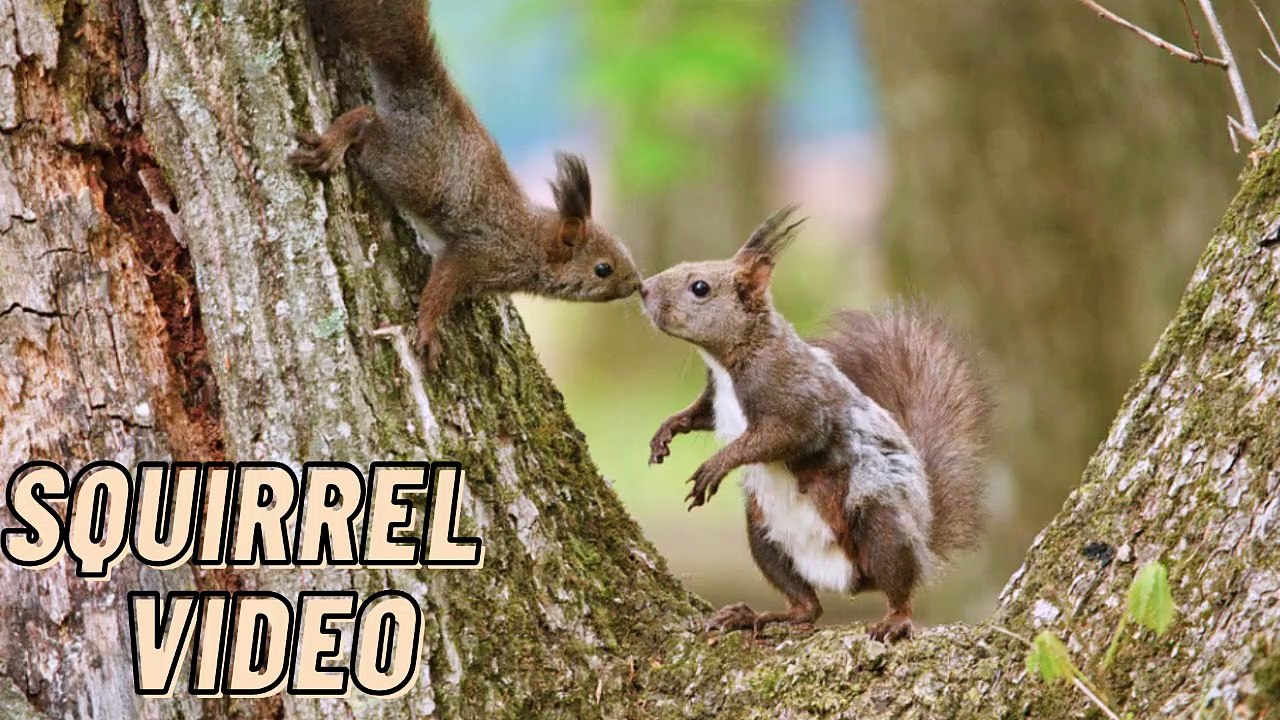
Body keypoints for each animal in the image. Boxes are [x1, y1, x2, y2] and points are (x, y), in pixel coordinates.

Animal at [289, 0, 642, 368]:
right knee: (367, 121)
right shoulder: (481, 254)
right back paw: (334, 141)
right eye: (603, 269)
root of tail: (423, 88)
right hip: (412, 169)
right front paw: (428, 330)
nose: (637, 285)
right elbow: (442, 284)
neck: (533, 241)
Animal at [641, 206, 991, 642]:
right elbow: (698, 414)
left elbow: (783, 436)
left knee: (898, 584)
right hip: (765, 538)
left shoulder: (797, 401)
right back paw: (758, 615)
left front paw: (715, 466)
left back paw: (895, 619)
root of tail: (844, 578)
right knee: (808, 607)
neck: (730, 360)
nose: (643, 289)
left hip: (878, 523)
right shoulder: (715, 397)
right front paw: (666, 431)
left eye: (700, 287)